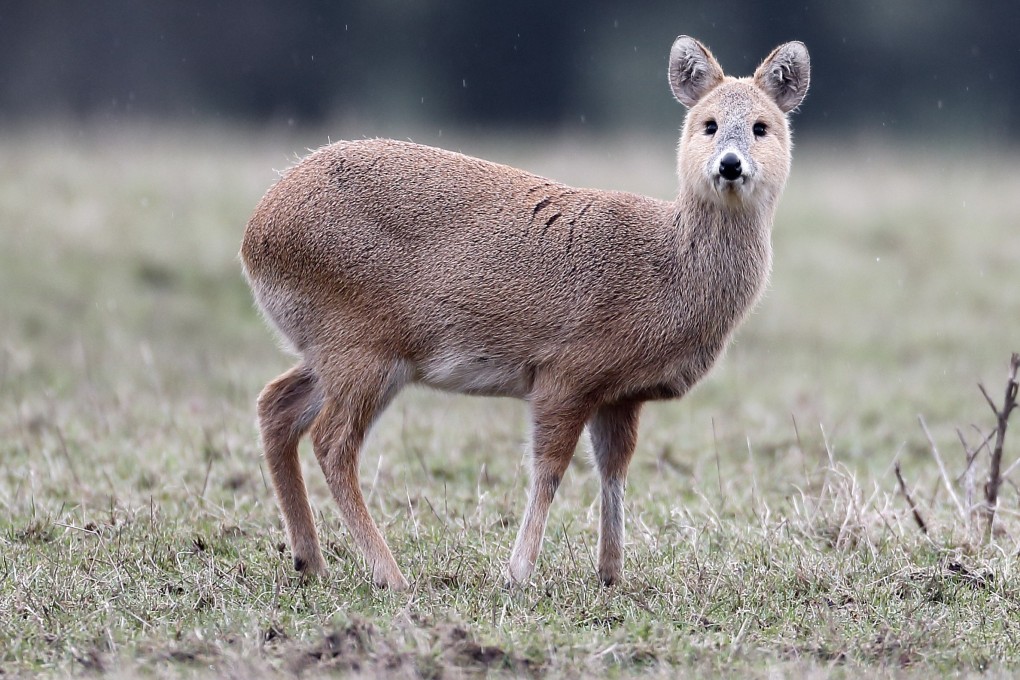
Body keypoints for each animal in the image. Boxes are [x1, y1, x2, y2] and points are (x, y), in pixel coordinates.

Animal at [240, 36, 810, 590]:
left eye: (762, 127)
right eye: (707, 123)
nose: (730, 163)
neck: (669, 268)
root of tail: (257, 232)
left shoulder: (620, 394)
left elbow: (614, 470)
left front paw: (611, 574)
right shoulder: (567, 370)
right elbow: (550, 469)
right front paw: (517, 573)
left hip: (333, 349)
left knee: (275, 406)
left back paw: (311, 560)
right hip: (362, 344)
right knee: (332, 443)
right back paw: (390, 575)